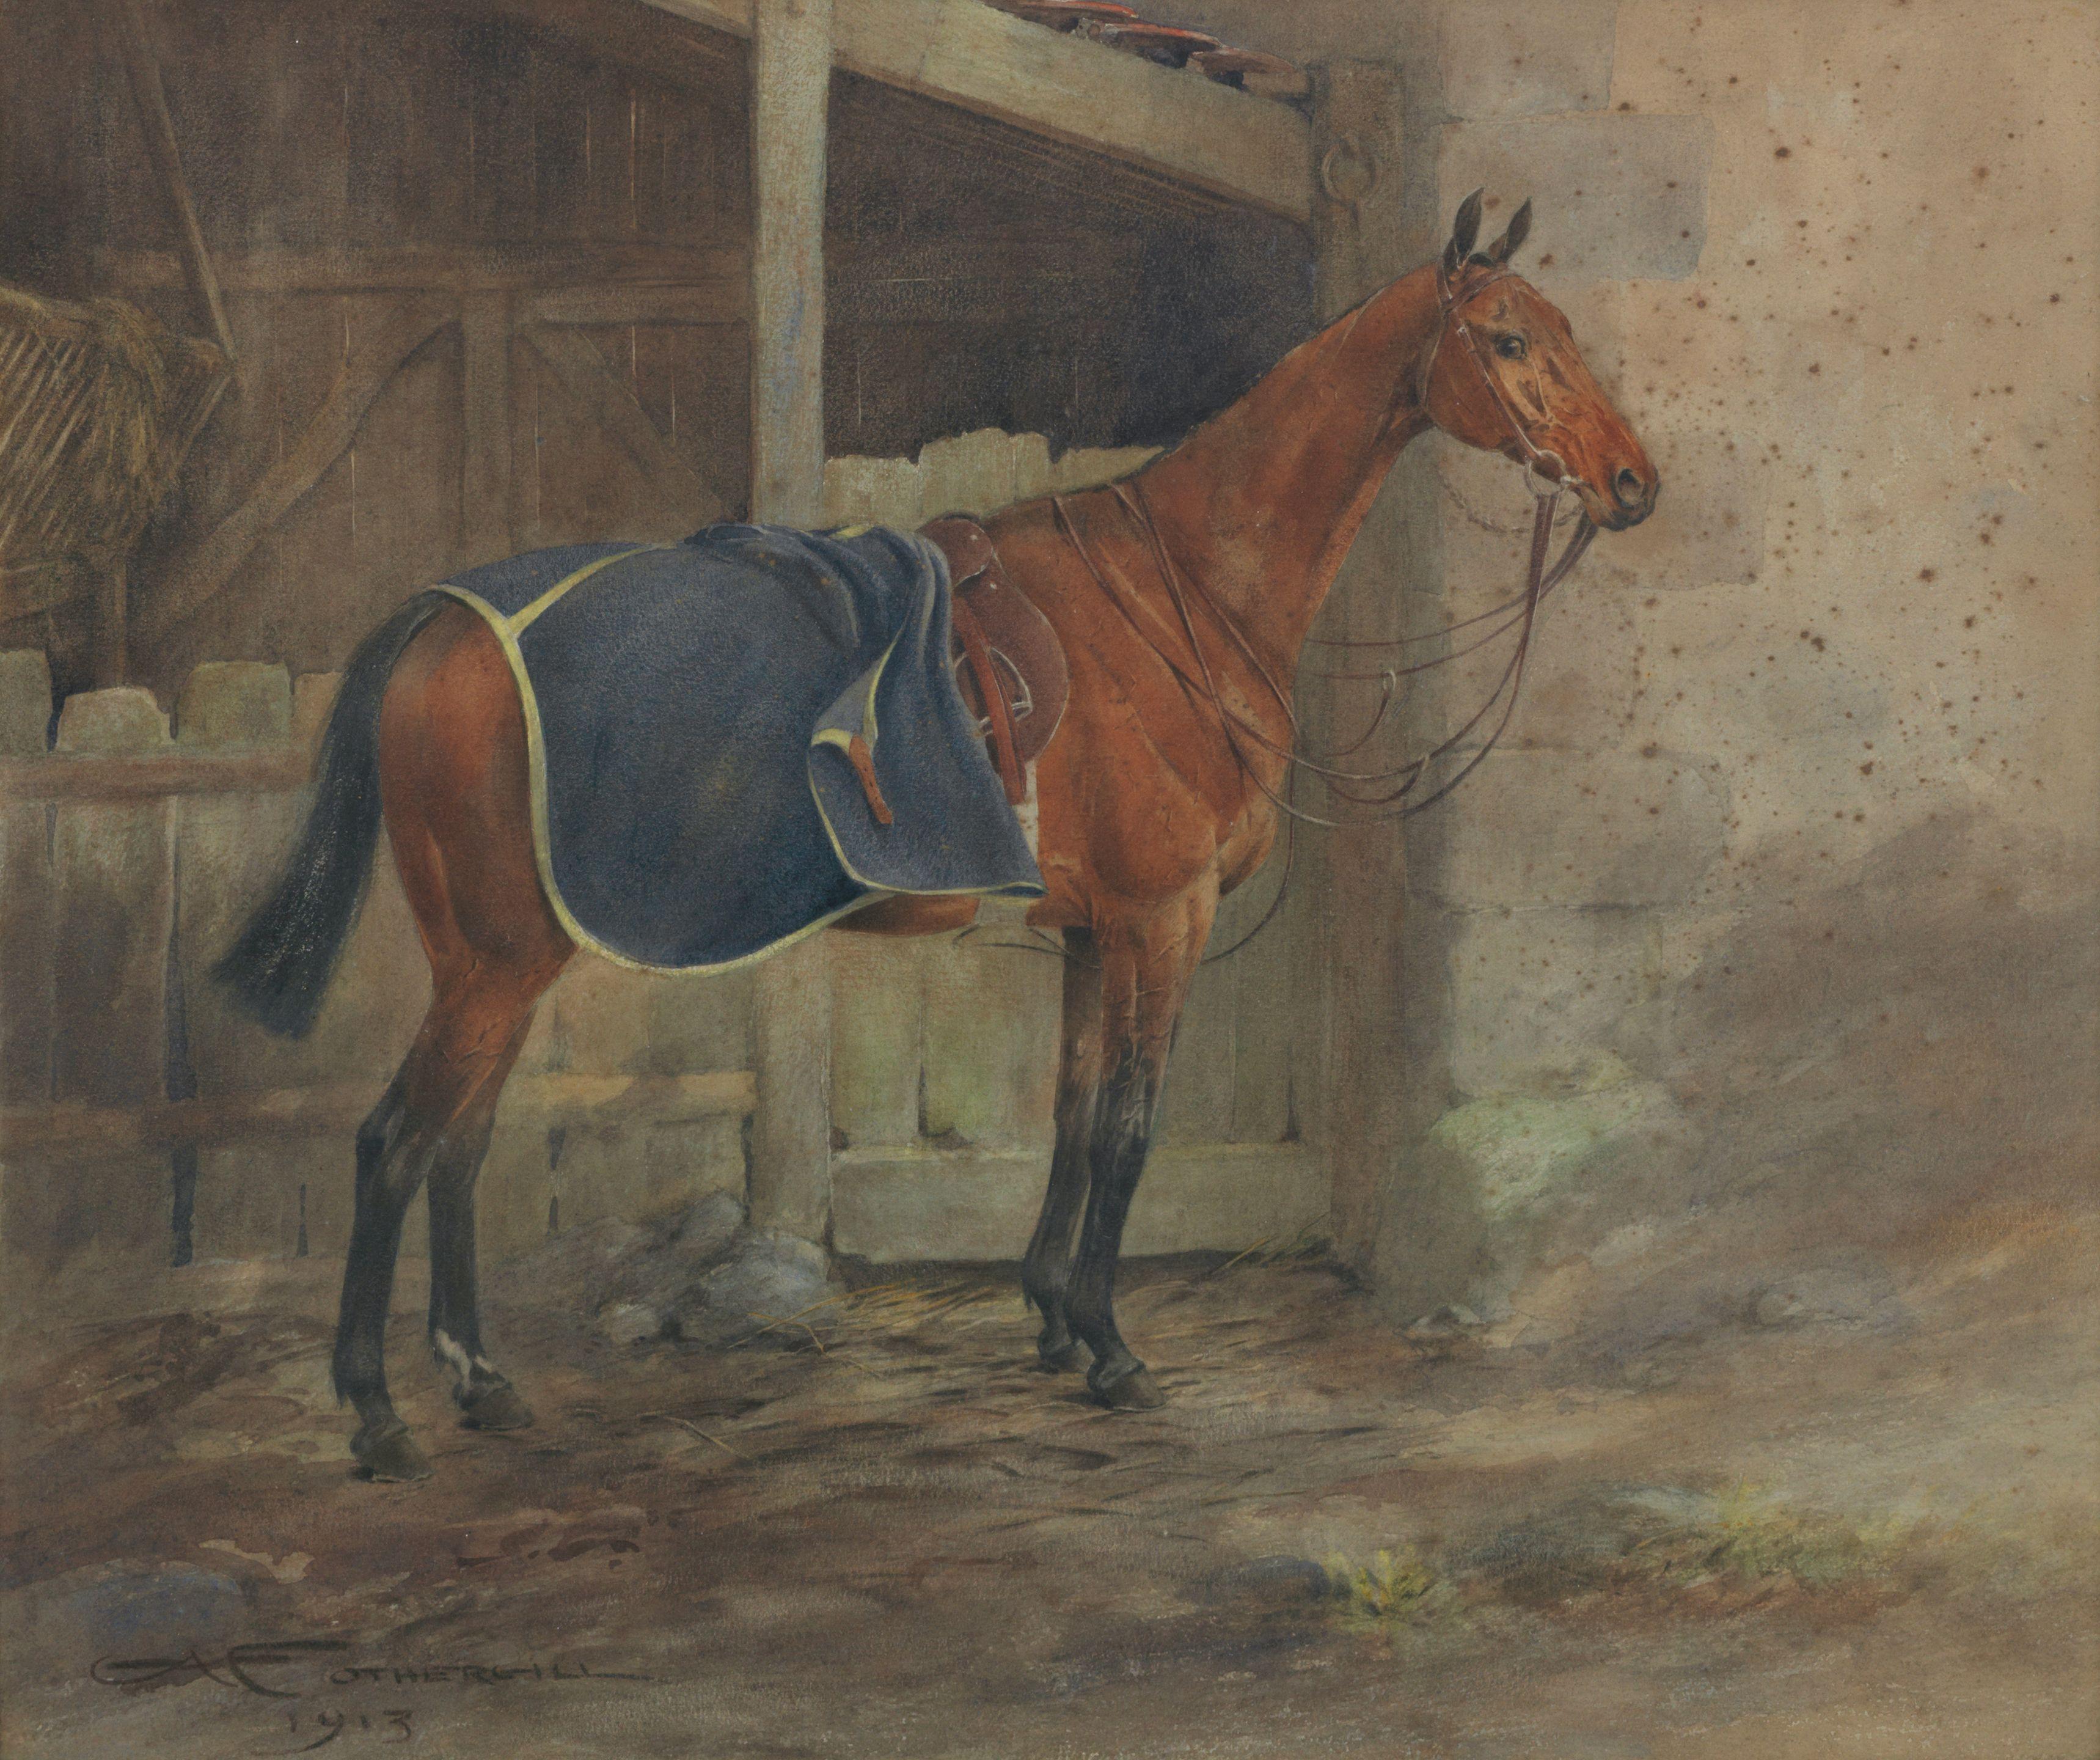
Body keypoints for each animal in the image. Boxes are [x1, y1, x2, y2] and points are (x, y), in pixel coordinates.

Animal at [217, 193, 1657, 1481]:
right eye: (1505, 338)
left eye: (1559, 329)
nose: (1632, 483)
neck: (1184, 592)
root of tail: (443, 617)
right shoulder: (1163, 915)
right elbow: (1129, 1127)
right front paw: (1115, 1353)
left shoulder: (1093, 930)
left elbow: (1074, 1111)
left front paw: (1056, 1323)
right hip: (495, 962)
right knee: (394, 1144)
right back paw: (378, 1414)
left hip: (507, 961)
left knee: (458, 1150)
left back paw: (481, 1382)